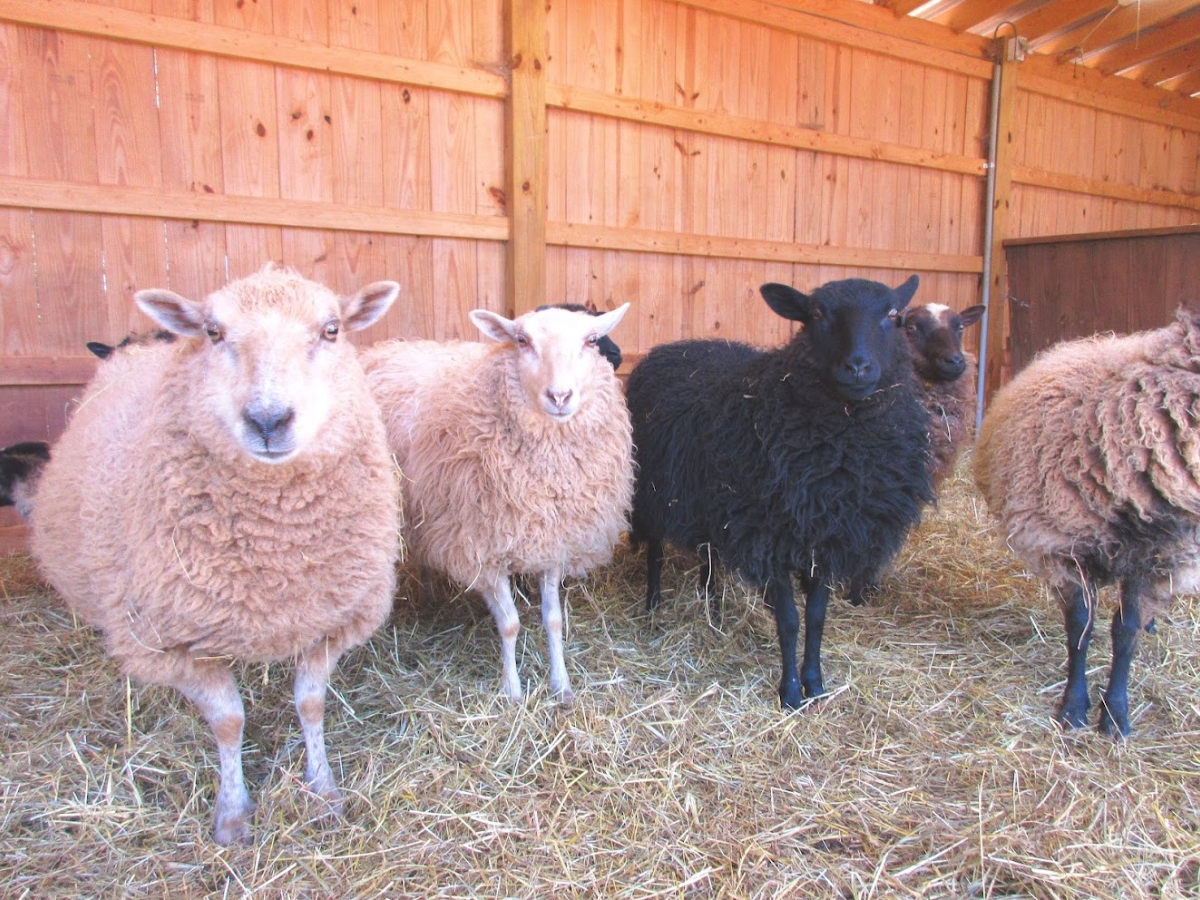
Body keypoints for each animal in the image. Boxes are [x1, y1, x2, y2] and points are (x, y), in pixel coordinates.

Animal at [31, 265, 402, 843]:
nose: (268, 420)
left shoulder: (330, 619)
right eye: (213, 332)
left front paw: (322, 792)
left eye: (332, 330)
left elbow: (311, 704)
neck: (275, 554)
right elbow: (228, 720)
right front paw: (232, 814)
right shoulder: (170, 640)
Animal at [361, 304, 633, 707]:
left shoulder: (552, 541)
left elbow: (553, 620)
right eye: (521, 340)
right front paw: (513, 690)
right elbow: (510, 624)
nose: (559, 396)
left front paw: (562, 685)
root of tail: (392, 346)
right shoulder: (481, 549)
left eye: (591, 340)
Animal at [626, 276, 934, 710]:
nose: (858, 366)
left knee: (708, 555)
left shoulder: (827, 538)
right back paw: (654, 604)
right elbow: (788, 620)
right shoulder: (767, 536)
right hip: (655, 493)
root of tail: (670, 348)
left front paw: (816, 685)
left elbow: (817, 616)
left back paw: (713, 606)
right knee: (655, 551)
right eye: (817, 314)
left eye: (893, 315)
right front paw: (790, 693)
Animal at [974, 304, 1200, 738]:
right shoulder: (1065, 547)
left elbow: (1125, 631)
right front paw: (1074, 708)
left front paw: (1115, 715)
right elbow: (1081, 628)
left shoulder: (1151, 557)